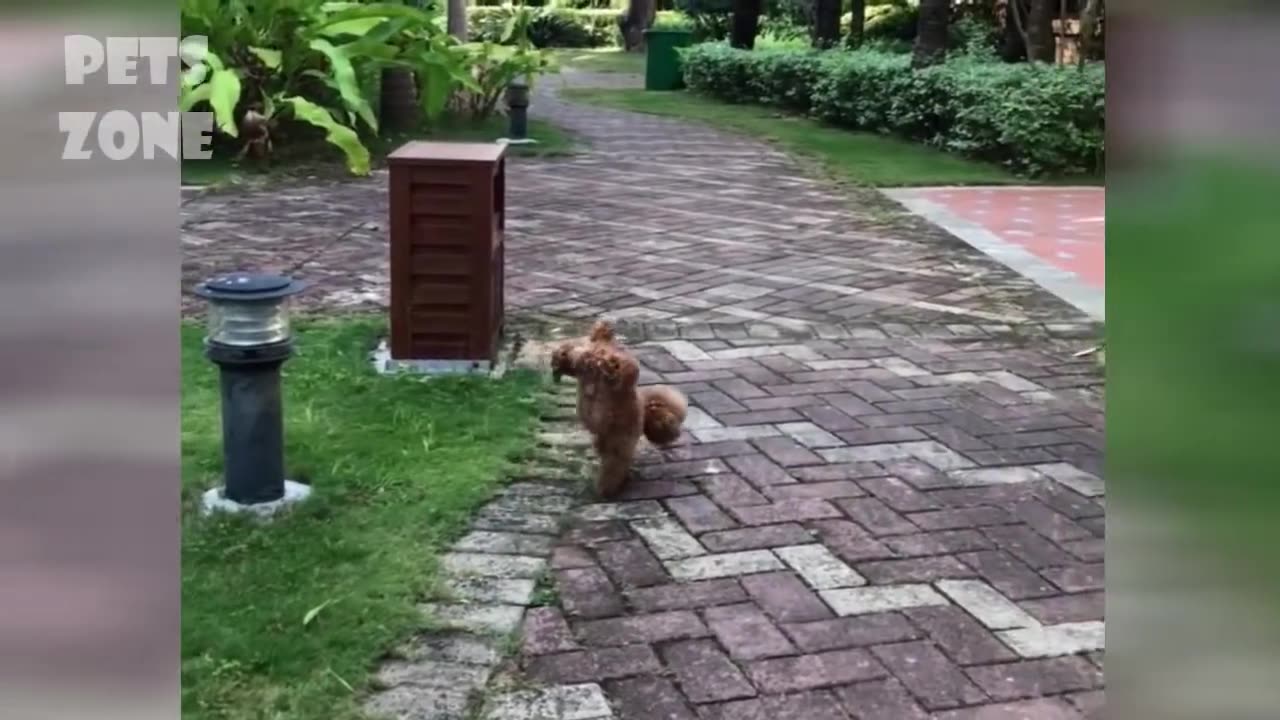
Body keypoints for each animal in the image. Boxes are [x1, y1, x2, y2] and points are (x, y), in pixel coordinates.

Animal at [550, 320, 691, 499]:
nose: (553, 361)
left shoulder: (616, 370)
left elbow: (624, 370)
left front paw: (609, 364)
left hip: (619, 441)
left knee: (614, 466)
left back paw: (607, 489)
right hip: (607, 441)